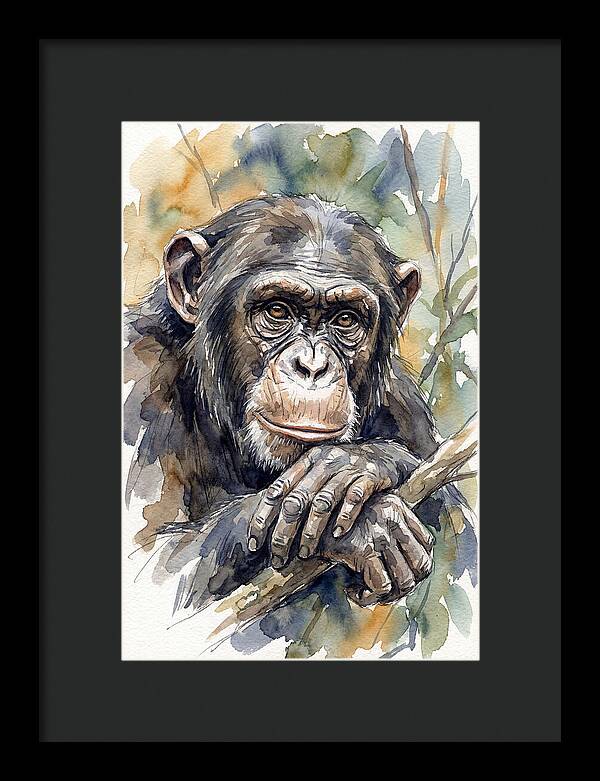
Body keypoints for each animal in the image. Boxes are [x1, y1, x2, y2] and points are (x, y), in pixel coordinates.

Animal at [124, 195, 477, 621]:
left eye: (346, 319)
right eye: (277, 311)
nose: (312, 366)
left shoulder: (404, 405)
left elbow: (462, 538)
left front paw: (355, 464)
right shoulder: (139, 380)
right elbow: (154, 568)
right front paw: (370, 524)